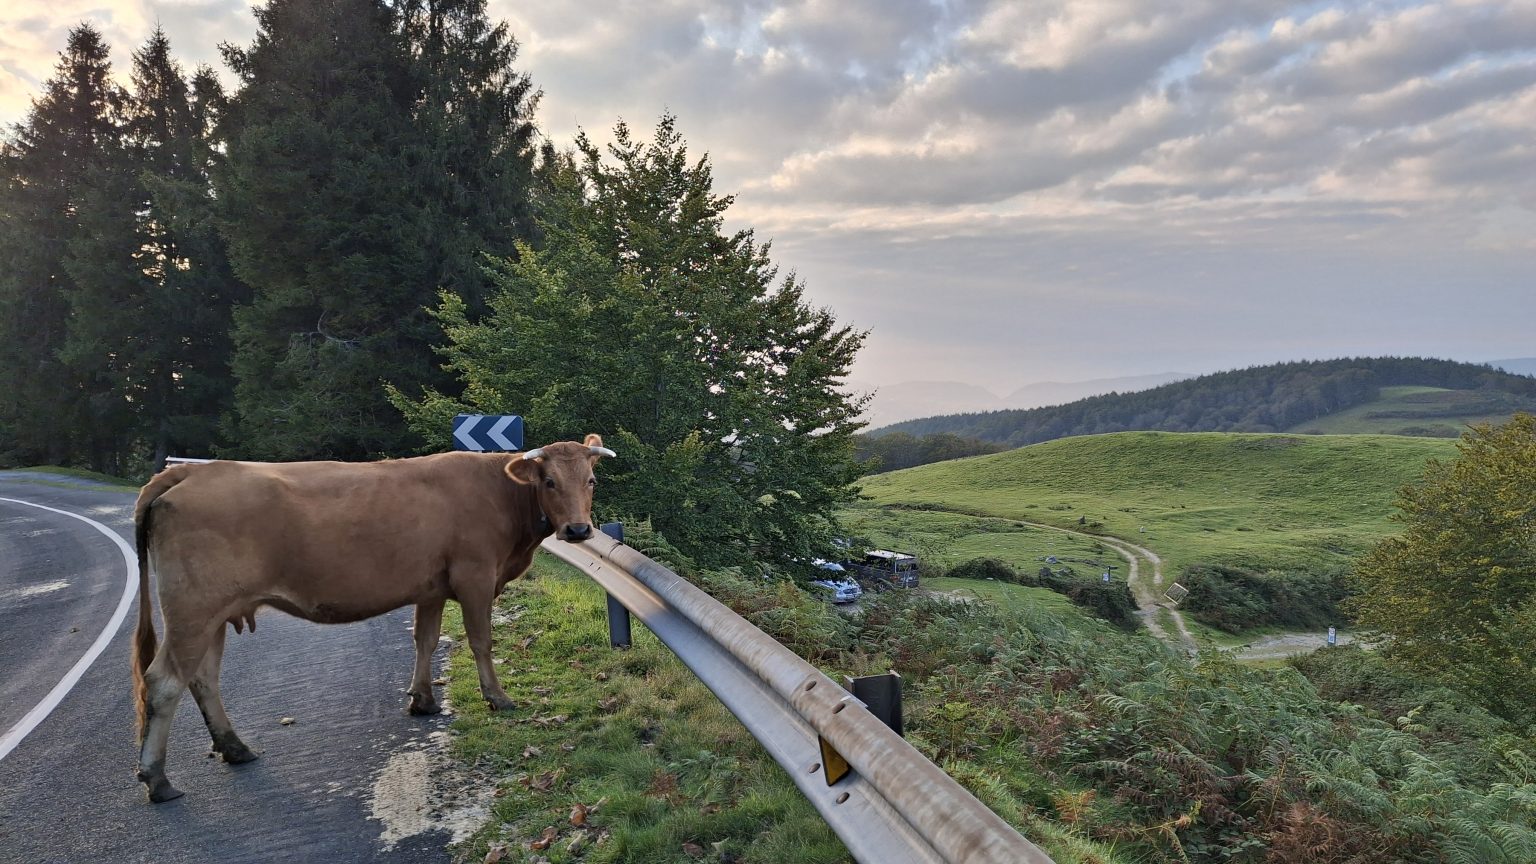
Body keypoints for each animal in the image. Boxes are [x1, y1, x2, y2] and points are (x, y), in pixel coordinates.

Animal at [130, 435, 614, 803]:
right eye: (549, 481)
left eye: (591, 480)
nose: (578, 530)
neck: (500, 494)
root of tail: (192, 472)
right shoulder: (475, 577)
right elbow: (480, 640)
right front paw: (497, 697)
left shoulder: (431, 587)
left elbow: (426, 639)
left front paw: (422, 699)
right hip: (192, 610)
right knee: (164, 682)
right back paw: (158, 779)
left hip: (213, 615)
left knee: (203, 678)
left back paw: (234, 748)